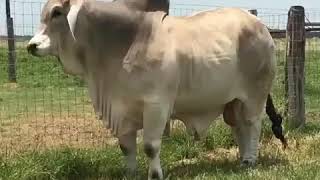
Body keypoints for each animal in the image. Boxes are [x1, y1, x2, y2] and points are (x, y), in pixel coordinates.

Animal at [27, 0, 286, 179]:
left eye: (57, 13)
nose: (32, 45)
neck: (122, 44)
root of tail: (259, 25)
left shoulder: (156, 105)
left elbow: (150, 146)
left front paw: (155, 174)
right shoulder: (122, 108)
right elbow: (126, 147)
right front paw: (130, 174)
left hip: (255, 95)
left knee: (253, 125)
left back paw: (249, 160)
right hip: (233, 102)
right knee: (239, 126)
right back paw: (242, 158)